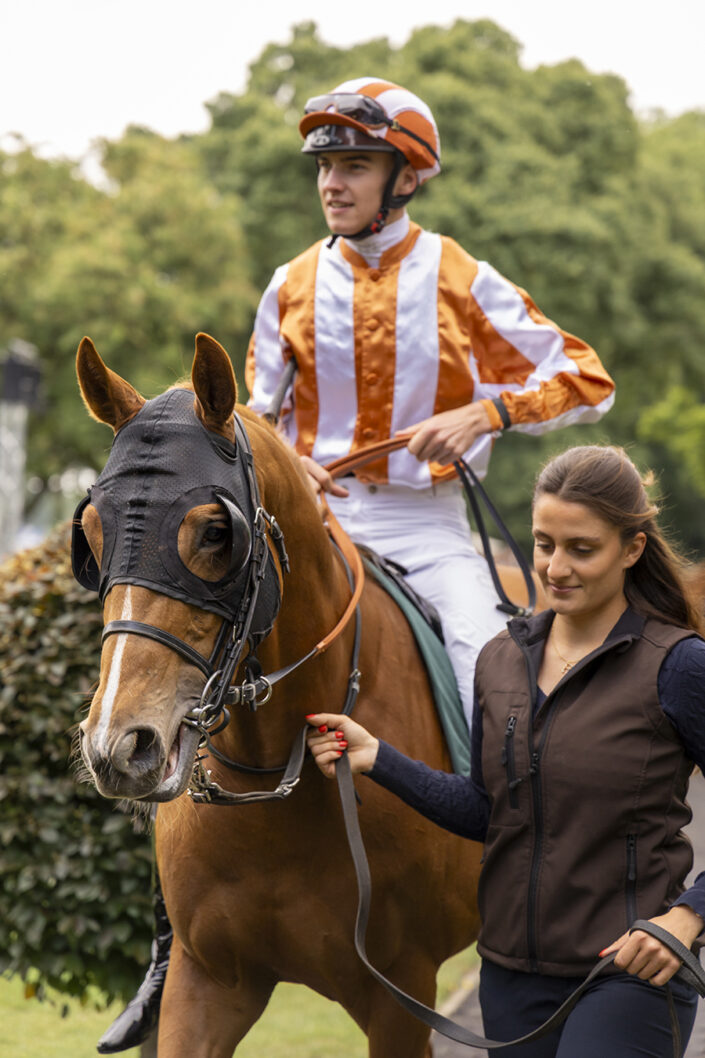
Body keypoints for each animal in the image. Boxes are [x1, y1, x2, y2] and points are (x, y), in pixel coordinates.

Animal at [74, 332, 486, 1058]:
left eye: (217, 532)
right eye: (92, 534)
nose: (119, 746)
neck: (274, 789)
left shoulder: (402, 998)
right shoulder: (207, 982)